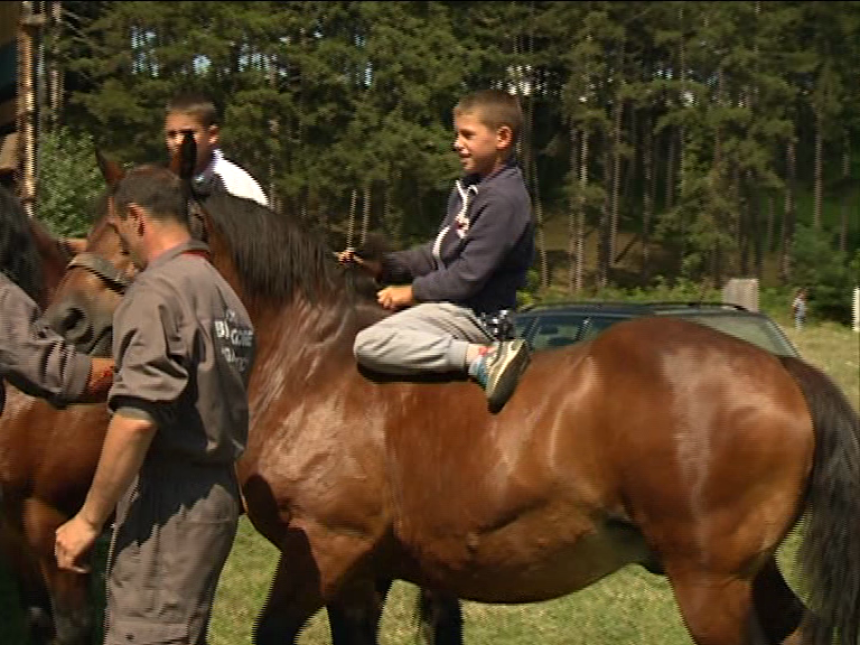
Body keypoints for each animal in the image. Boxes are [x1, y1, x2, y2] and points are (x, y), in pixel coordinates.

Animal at [43, 157, 860, 644]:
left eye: (125, 231)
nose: (65, 319)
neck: (310, 363)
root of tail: (783, 371)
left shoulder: (326, 550)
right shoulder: (363, 573)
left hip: (711, 585)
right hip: (744, 576)